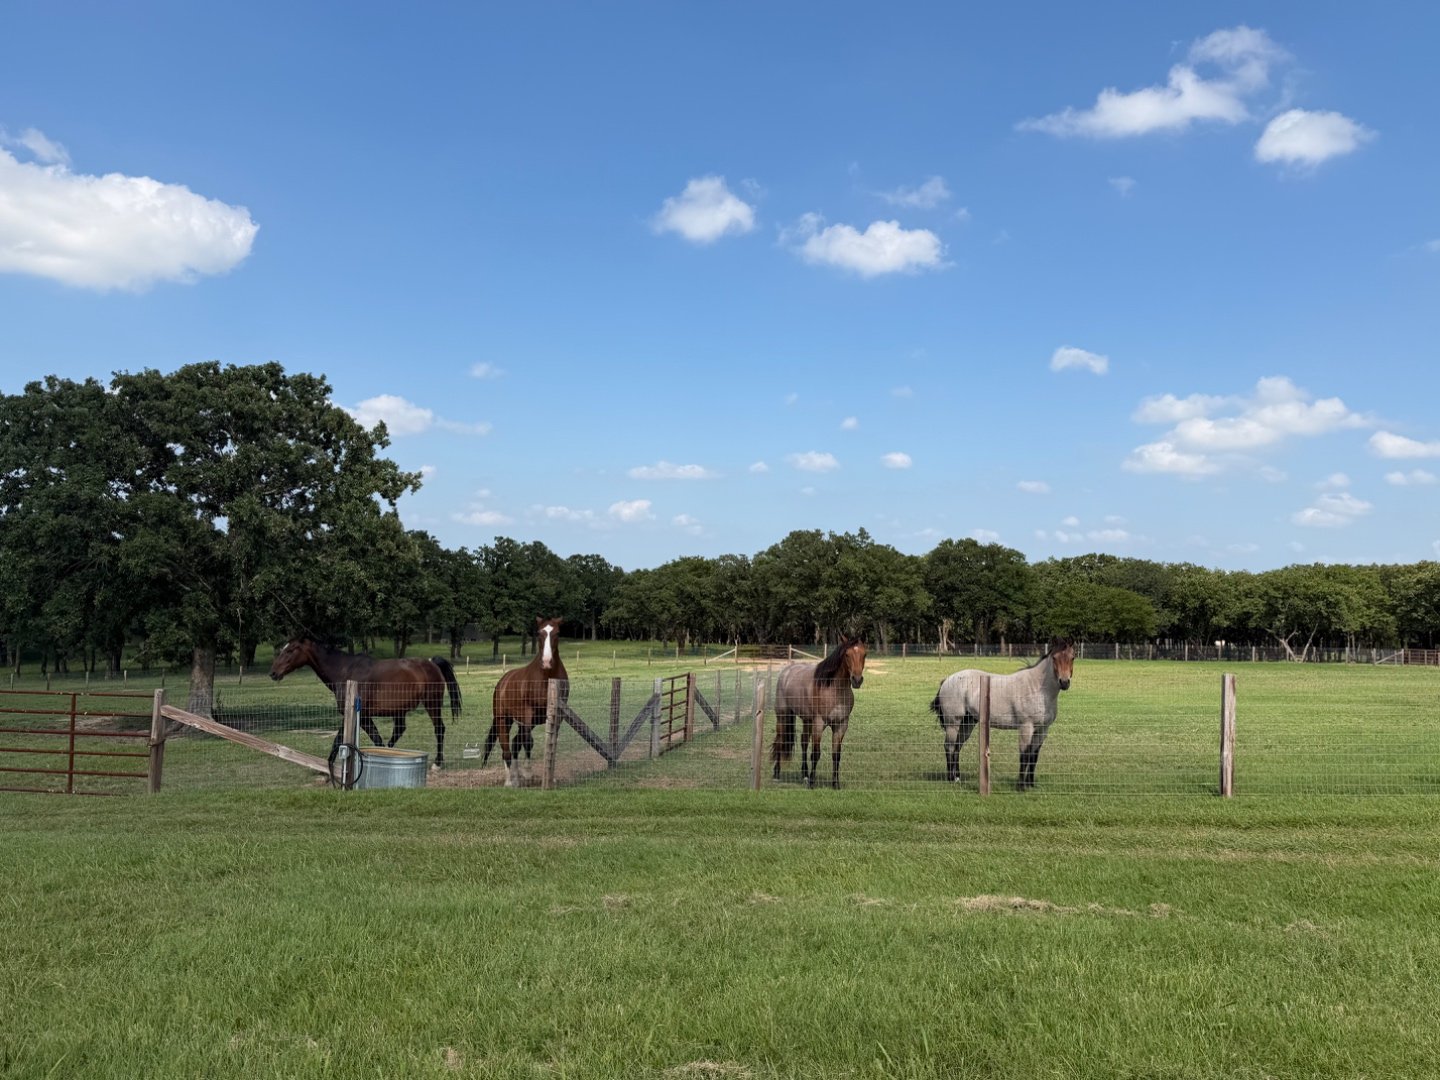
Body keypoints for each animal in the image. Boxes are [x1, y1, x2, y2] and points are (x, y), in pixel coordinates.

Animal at [269, 637, 461, 767]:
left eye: (290, 650)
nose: (273, 673)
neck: (345, 671)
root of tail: (432, 663)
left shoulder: (364, 716)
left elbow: (373, 739)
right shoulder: (351, 714)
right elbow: (340, 739)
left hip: (432, 704)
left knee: (439, 729)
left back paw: (437, 763)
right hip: (400, 710)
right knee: (399, 730)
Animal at [481, 616, 567, 788]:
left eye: (558, 633)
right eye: (539, 633)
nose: (547, 661)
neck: (546, 678)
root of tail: (502, 682)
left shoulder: (557, 716)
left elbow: (552, 743)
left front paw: (551, 778)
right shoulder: (527, 713)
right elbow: (528, 742)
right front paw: (528, 773)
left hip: (524, 721)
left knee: (515, 743)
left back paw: (516, 776)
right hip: (504, 720)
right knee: (507, 748)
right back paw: (510, 781)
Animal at [769, 635, 868, 789]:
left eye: (865, 654)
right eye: (847, 654)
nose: (857, 680)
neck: (834, 690)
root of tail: (786, 672)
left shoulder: (841, 725)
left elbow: (836, 755)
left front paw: (835, 784)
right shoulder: (819, 724)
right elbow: (816, 753)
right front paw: (812, 782)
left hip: (806, 720)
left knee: (803, 741)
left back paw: (804, 774)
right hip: (783, 716)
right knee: (780, 740)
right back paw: (777, 773)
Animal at [929, 638, 1075, 790]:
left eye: (1072, 657)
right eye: (1054, 658)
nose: (1064, 682)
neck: (1037, 688)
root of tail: (946, 680)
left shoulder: (1042, 730)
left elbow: (1034, 756)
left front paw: (1030, 784)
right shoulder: (1026, 727)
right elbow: (1024, 755)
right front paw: (1021, 786)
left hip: (967, 723)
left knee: (957, 747)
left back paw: (958, 777)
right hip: (953, 723)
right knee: (949, 746)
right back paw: (951, 778)